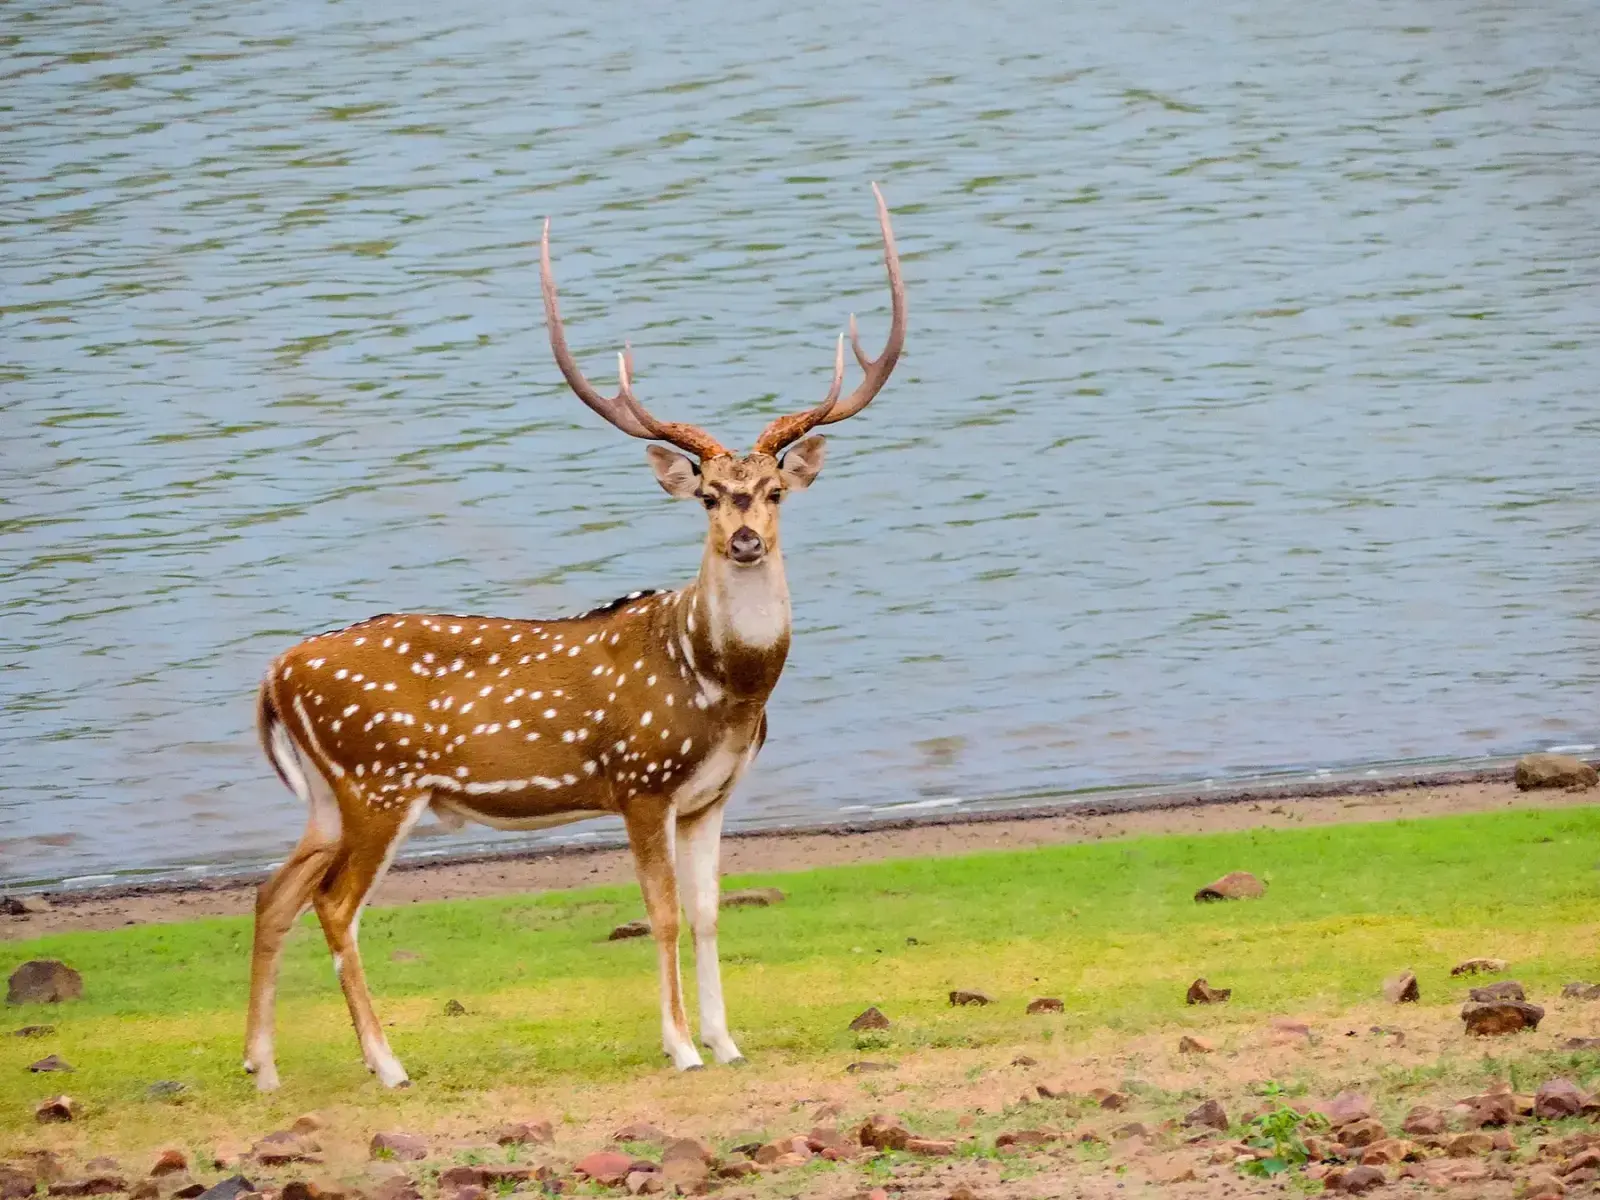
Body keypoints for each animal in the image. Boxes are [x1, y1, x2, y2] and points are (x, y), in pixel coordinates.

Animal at [243, 184, 905, 1090]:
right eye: (707, 495)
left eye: (773, 490)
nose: (744, 540)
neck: (724, 688)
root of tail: (274, 674)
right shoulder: (639, 780)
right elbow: (661, 914)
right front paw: (682, 1047)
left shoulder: (712, 795)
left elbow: (708, 913)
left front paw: (728, 1041)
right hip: (377, 783)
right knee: (333, 904)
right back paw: (387, 1064)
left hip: (324, 796)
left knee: (270, 890)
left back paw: (262, 1067)